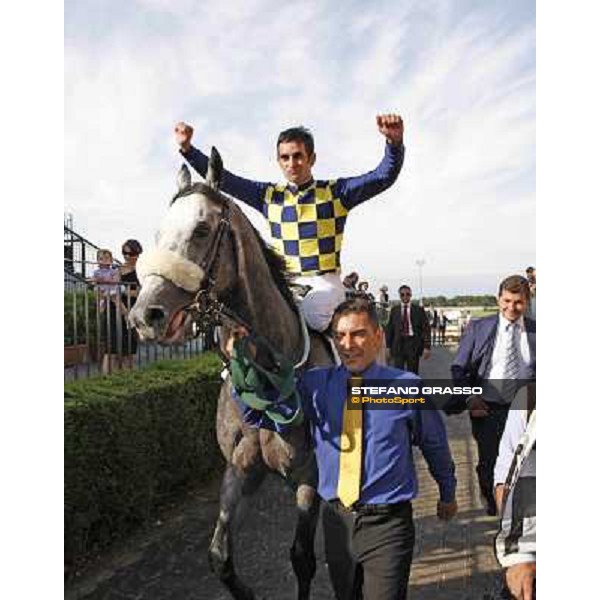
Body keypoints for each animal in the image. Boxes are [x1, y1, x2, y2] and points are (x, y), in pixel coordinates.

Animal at [129, 148, 332, 596]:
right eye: (158, 234)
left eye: (202, 229)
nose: (144, 315)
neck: (270, 374)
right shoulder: (240, 470)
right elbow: (219, 556)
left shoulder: (308, 474)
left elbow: (302, 558)